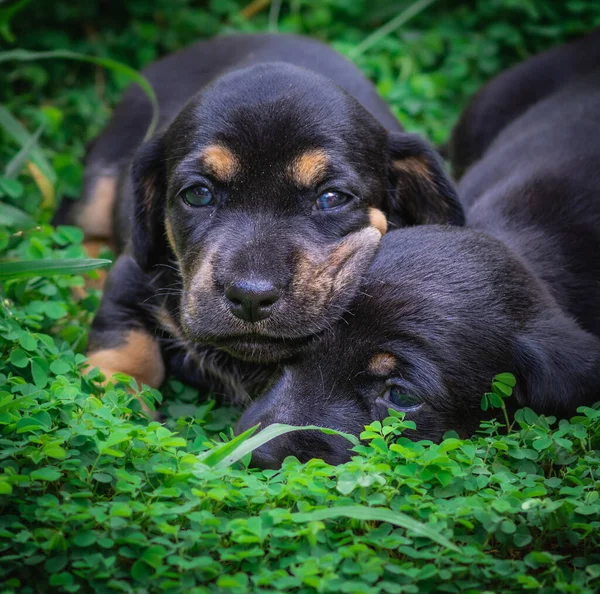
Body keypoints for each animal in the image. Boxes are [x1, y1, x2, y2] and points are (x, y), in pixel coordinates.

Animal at [72, 35, 462, 398]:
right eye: (198, 194)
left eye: (331, 198)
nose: (250, 298)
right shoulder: (130, 276)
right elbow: (126, 352)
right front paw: (111, 396)